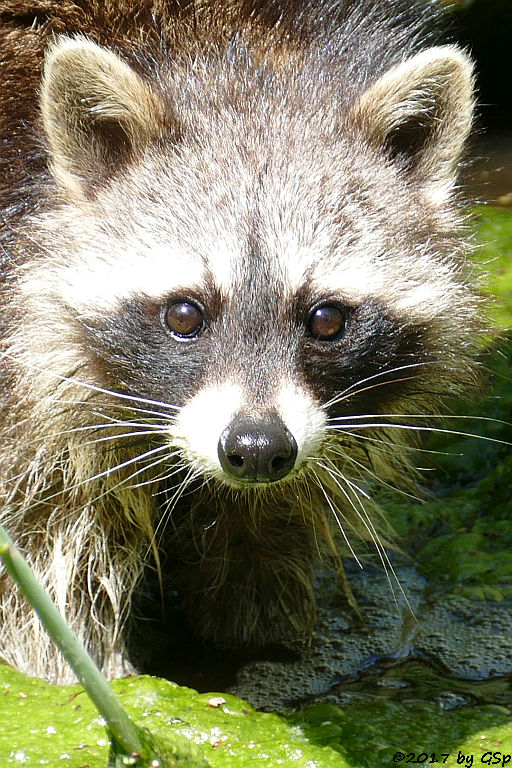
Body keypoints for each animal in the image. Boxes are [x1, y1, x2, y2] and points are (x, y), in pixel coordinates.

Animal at [0, 0, 482, 684]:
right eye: (184, 314)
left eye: (326, 319)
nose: (256, 449)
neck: (228, 48)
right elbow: (46, 584)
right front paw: (79, 677)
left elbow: (264, 535)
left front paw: (254, 638)